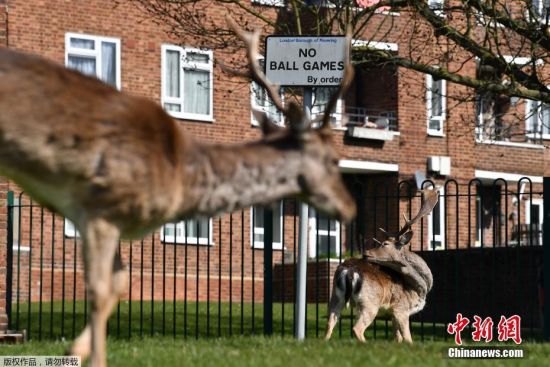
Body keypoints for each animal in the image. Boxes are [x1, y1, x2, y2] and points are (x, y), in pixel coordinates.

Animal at [0, 16, 358, 367]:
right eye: (332, 159)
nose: (351, 207)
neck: (178, 177)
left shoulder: (116, 220)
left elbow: (120, 284)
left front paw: (73, 350)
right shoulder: (100, 208)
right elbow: (99, 291)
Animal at [328, 190, 440, 344]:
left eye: (385, 244)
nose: (365, 252)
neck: (418, 288)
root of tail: (348, 271)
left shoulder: (392, 314)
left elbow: (397, 338)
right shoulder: (401, 309)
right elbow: (408, 339)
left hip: (336, 295)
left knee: (330, 323)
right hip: (369, 302)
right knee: (357, 328)